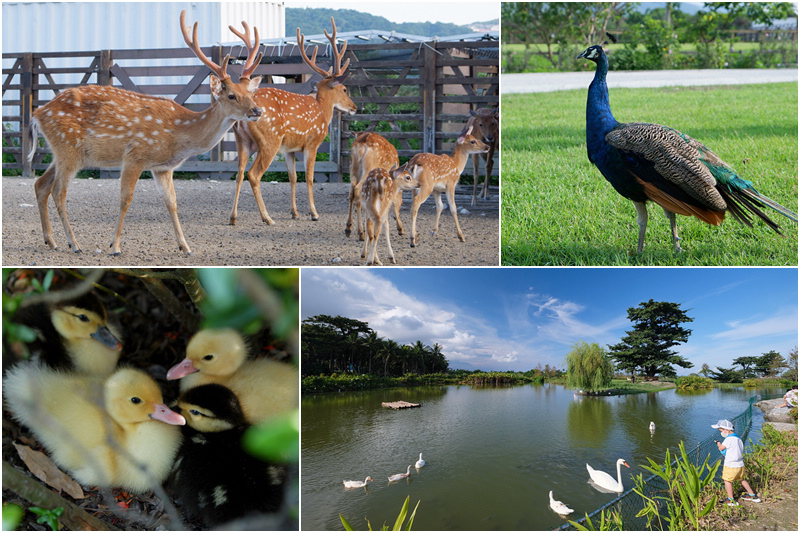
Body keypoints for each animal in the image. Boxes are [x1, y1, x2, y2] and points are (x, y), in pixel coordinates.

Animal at [24, 9, 262, 256]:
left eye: (251, 93)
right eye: (232, 95)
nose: (257, 110)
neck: (179, 136)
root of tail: (37, 114)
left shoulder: (162, 167)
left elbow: (172, 202)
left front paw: (185, 246)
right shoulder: (135, 155)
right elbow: (125, 199)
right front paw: (115, 246)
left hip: (64, 152)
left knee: (41, 185)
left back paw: (51, 240)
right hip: (68, 148)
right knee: (58, 191)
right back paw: (74, 243)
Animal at [230, 16, 358, 224]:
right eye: (345, 89)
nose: (354, 108)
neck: (323, 111)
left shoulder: (289, 149)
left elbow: (293, 177)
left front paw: (294, 212)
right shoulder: (312, 143)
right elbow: (309, 177)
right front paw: (314, 213)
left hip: (242, 141)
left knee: (239, 173)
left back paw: (233, 217)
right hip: (270, 140)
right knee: (253, 174)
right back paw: (267, 217)